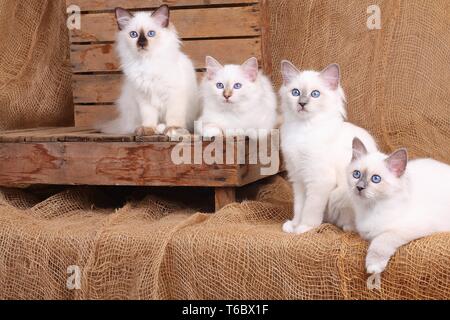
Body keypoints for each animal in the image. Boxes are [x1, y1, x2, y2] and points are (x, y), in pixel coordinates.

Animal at [98, 5, 199, 138]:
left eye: (151, 34)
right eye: (133, 34)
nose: (141, 43)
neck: (147, 63)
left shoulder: (174, 94)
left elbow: (173, 116)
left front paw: (173, 129)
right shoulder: (144, 97)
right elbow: (149, 117)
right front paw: (148, 129)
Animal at [280, 61, 378, 234]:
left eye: (315, 94)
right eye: (295, 92)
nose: (302, 103)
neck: (303, 129)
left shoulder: (319, 180)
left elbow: (310, 209)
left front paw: (304, 228)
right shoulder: (298, 179)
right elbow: (299, 207)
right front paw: (294, 225)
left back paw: (346, 227)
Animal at [350, 139, 450, 276]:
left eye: (376, 179)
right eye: (356, 174)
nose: (359, 187)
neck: (371, 208)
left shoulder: (405, 229)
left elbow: (380, 240)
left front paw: (373, 267)